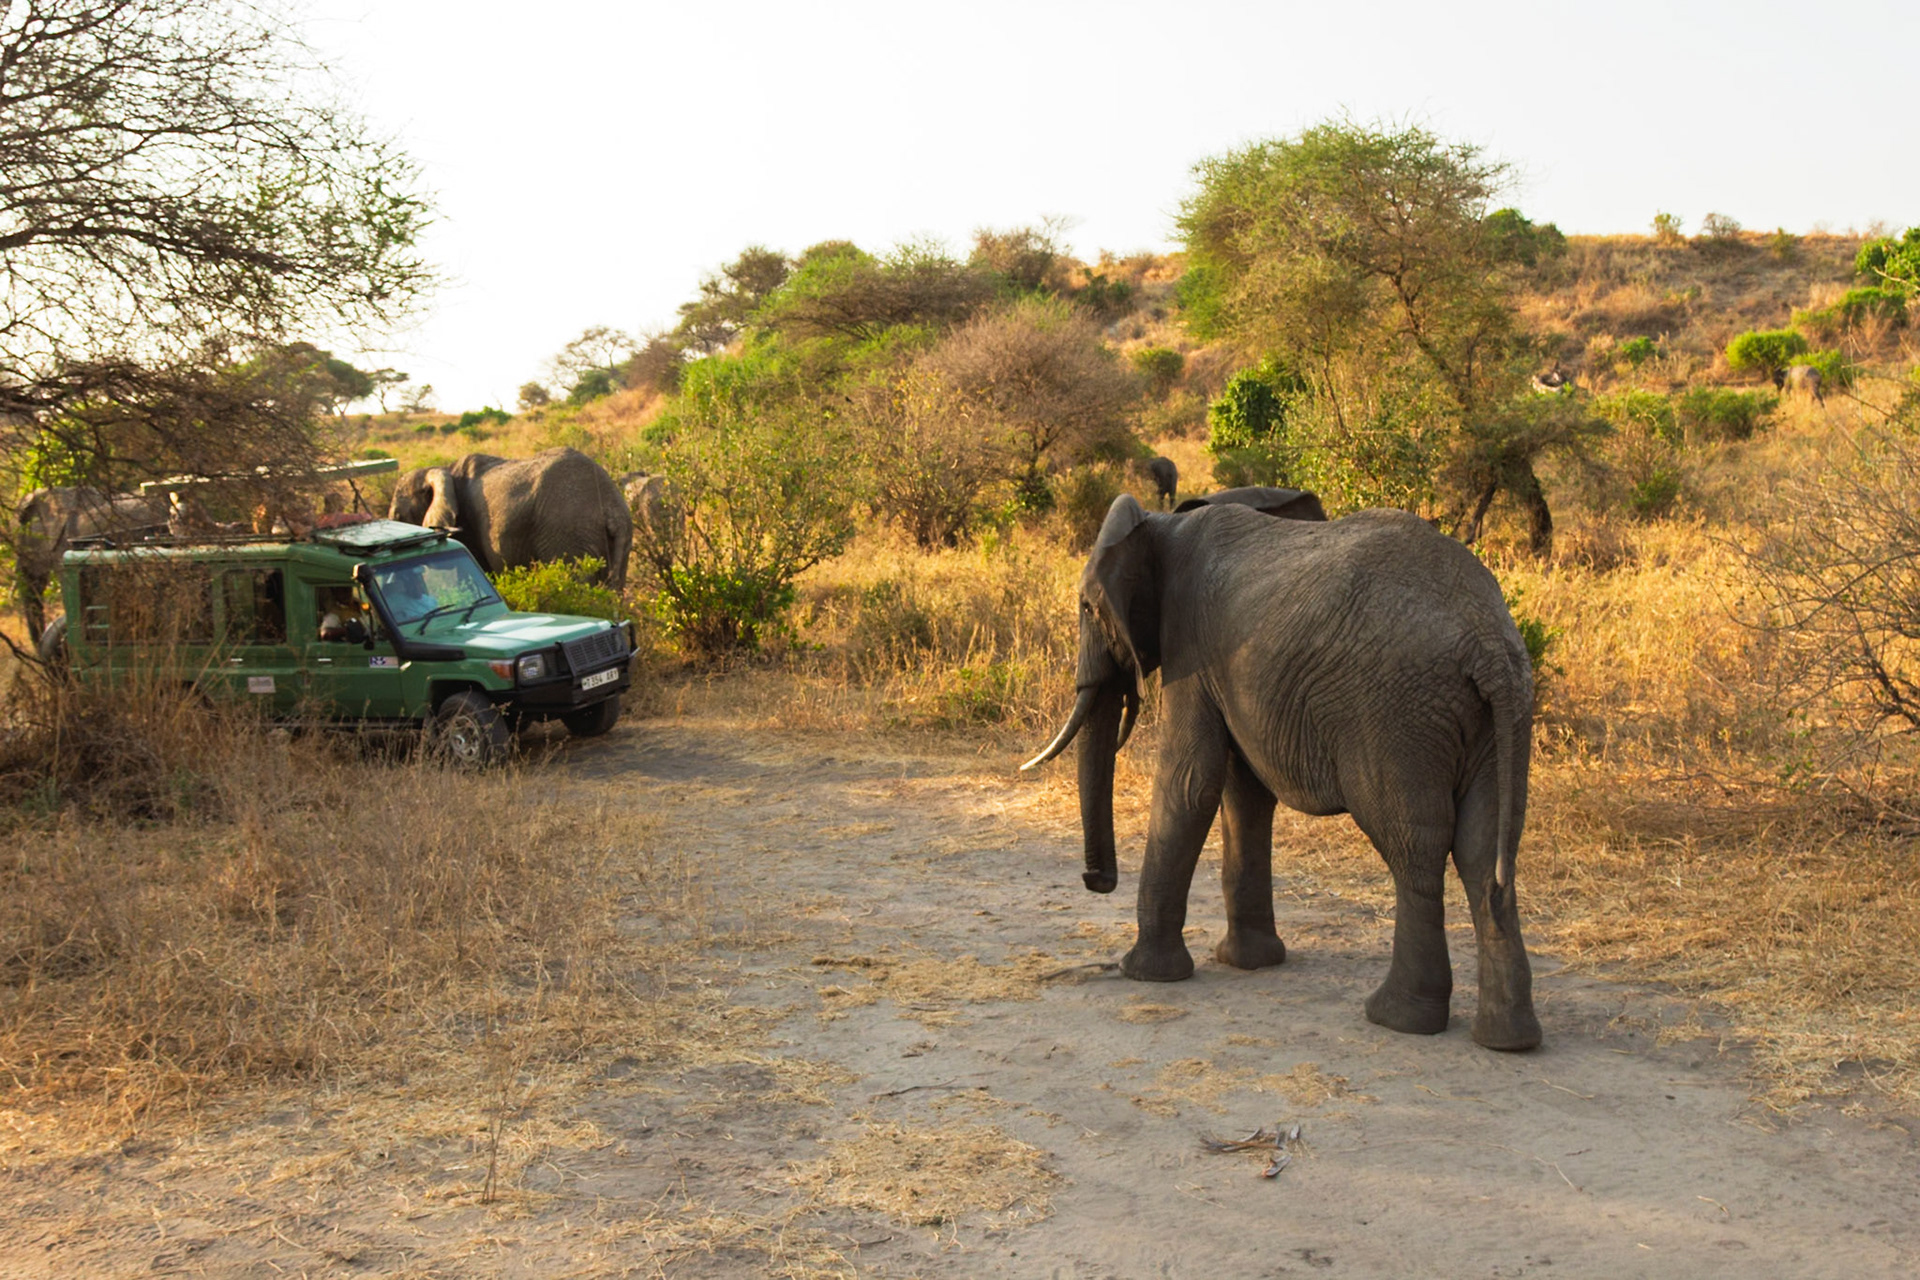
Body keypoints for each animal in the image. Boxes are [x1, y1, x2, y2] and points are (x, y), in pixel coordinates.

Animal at [1023, 494, 1541, 1051]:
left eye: (1086, 608)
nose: (1095, 880)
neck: (1163, 523)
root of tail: (1488, 640)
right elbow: (1245, 794)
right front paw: (1249, 963)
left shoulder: (1190, 649)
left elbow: (1189, 784)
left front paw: (1144, 973)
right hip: (1497, 716)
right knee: (1484, 852)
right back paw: (1508, 1041)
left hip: (1397, 713)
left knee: (1414, 849)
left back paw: (1395, 1018)